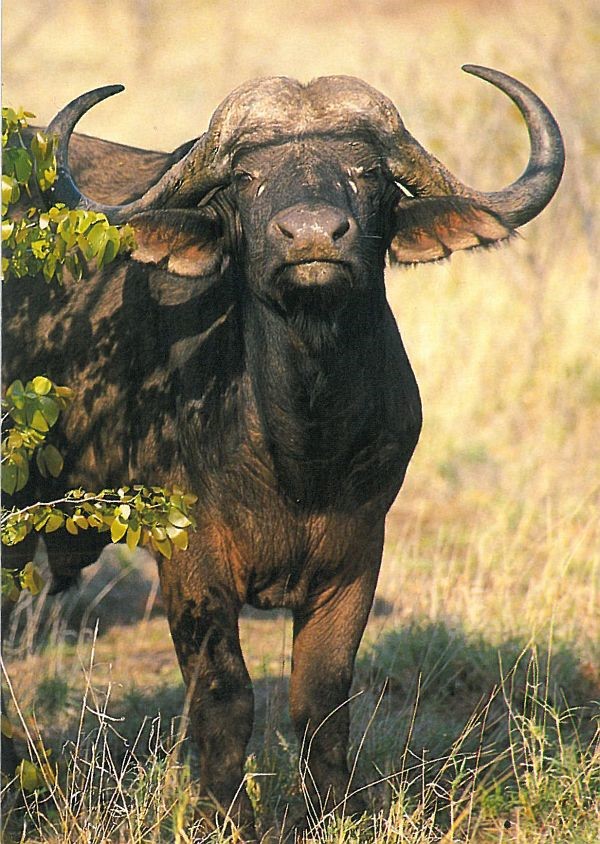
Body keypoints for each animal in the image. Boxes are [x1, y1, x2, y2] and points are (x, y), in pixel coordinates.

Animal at [2, 66, 563, 839]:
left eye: (366, 171)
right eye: (247, 177)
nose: (312, 236)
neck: (300, 443)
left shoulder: (358, 553)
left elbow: (322, 699)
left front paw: (339, 811)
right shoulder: (190, 557)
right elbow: (225, 697)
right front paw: (229, 815)